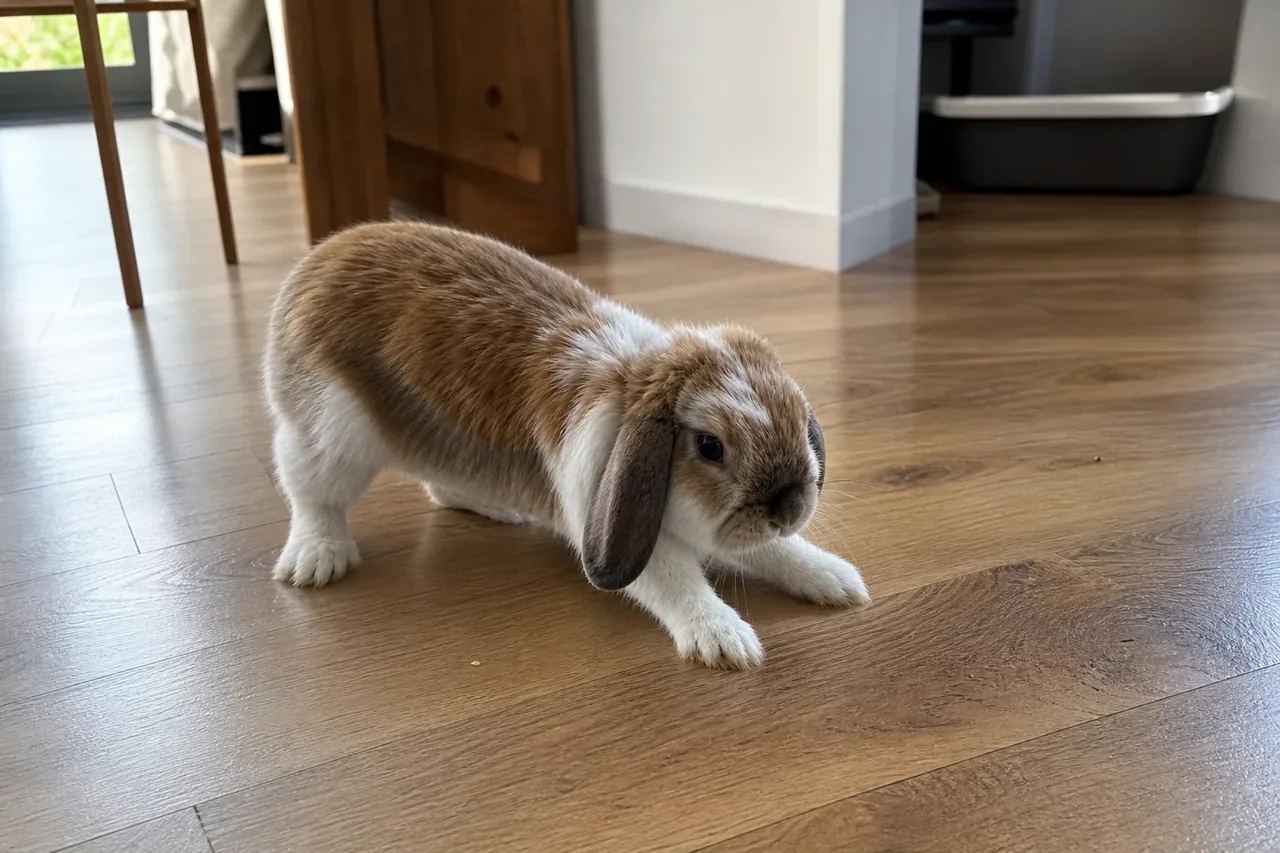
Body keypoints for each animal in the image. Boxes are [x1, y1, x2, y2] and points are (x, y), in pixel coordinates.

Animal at [262, 220, 870, 669]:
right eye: (709, 446)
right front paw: (725, 640)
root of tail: (315, 262)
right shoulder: (614, 527)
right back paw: (315, 562)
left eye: (796, 415)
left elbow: (776, 551)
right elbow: (675, 582)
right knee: (313, 498)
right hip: (328, 437)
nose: (790, 506)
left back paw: (495, 508)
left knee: (438, 483)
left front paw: (836, 580)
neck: (630, 393)